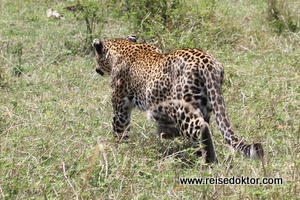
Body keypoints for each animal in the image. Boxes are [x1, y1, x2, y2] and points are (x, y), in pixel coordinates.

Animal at [92, 37, 264, 162]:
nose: (96, 69)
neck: (123, 47)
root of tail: (208, 63)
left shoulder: (121, 107)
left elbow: (119, 130)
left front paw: (118, 151)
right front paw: (165, 133)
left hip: (182, 107)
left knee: (201, 127)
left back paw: (209, 161)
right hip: (205, 105)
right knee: (201, 129)